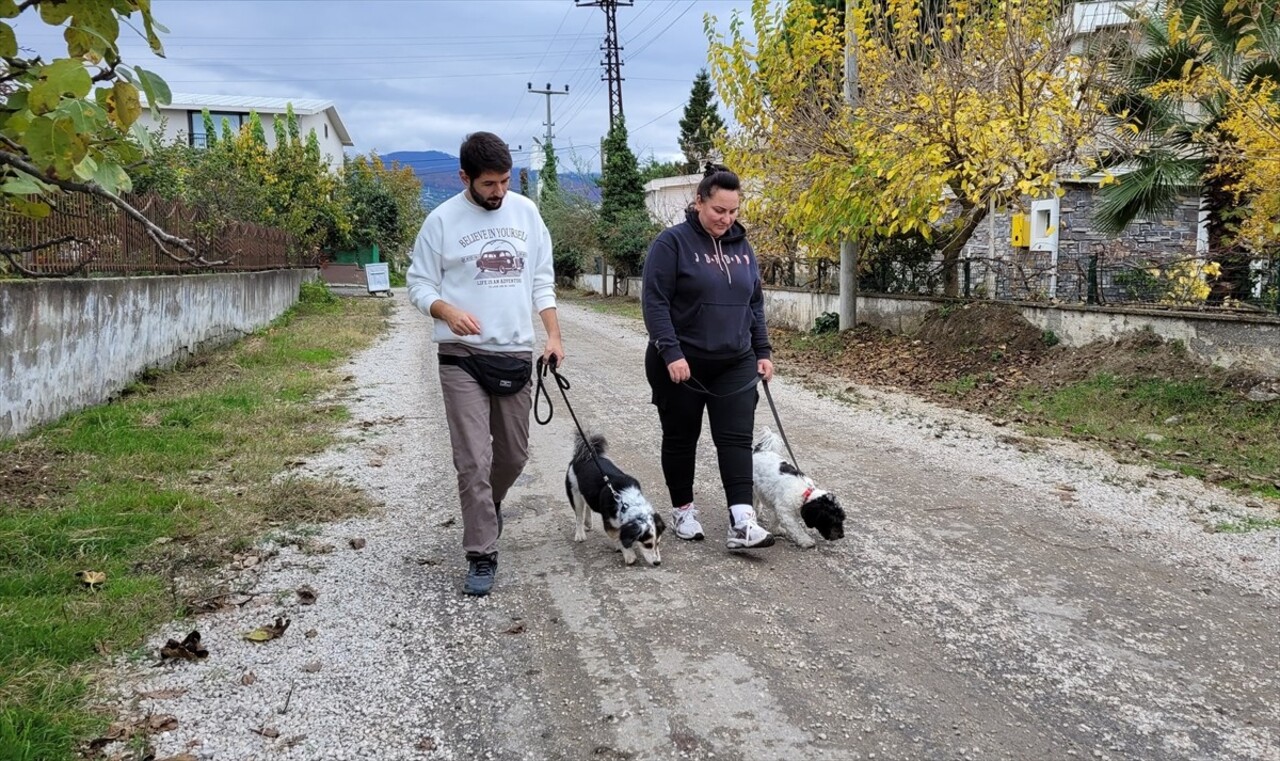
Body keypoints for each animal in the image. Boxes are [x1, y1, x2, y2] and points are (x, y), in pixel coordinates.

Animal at [565, 434, 665, 565]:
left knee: (587, 505)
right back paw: (580, 534)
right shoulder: (610, 525)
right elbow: (618, 537)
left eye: (658, 543)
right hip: (575, 493)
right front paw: (629, 555)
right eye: (647, 544)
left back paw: (588, 522)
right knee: (579, 516)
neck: (626, 503)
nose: (657, 563)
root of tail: (584, 455)